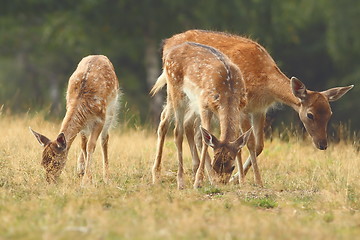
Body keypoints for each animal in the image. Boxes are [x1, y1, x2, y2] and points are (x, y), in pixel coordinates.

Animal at [29, 54, 119, 186]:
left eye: (56, 162)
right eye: (42, 163)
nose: (50, 181)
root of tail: (99, 55)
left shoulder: (100, 119)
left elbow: (91, 145)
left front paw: (87, 180)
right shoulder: (83, 123)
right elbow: (83, 145)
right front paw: (86, 175)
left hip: (111, 108)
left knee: (104, 139)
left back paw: (106, 177)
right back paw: (80, 169)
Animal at [150, 41, 252, 189]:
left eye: (232, 167)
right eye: (215, 164)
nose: (222, 183)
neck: (228, 94)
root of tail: (168, 53)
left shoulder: (241, 107)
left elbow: (238, 139)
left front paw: (243, 182)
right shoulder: (204, 105)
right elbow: (205, 139)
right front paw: (198, 181)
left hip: (180, 97)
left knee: (165, 119)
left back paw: (158, 175)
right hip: (176, 89)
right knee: (177, 131)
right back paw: (178, 181)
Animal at [162, 29, 352, 184]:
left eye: (330, 114)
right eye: (310, 115)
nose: (323, 144)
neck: (265, 84)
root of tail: (167, 43)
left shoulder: (260, 110)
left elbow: (259, 145)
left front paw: (236, 178)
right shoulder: (243, 109)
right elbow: (248, 143)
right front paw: (247, 180)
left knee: (190, 127)